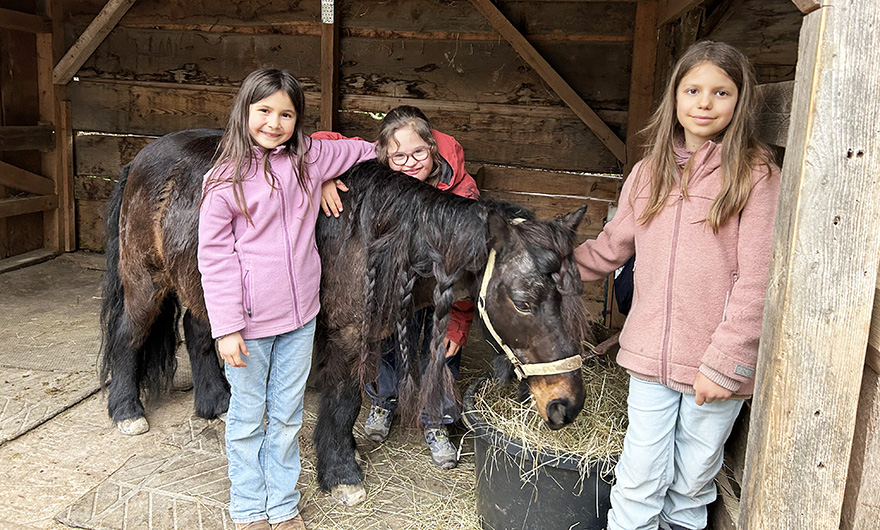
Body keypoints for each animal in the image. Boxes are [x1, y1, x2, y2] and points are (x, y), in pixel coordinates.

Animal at [99, 128, 593, 505]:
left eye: (572, 298)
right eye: (523, 302)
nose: (566, 406)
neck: (376, 234)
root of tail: (141, 158)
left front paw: (348, 455)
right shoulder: (349, 332)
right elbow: (343, 400)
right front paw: (341, 474)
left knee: (198, 329)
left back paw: (217, 402)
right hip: (146, 281)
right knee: (129, 336)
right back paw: (126, 410)